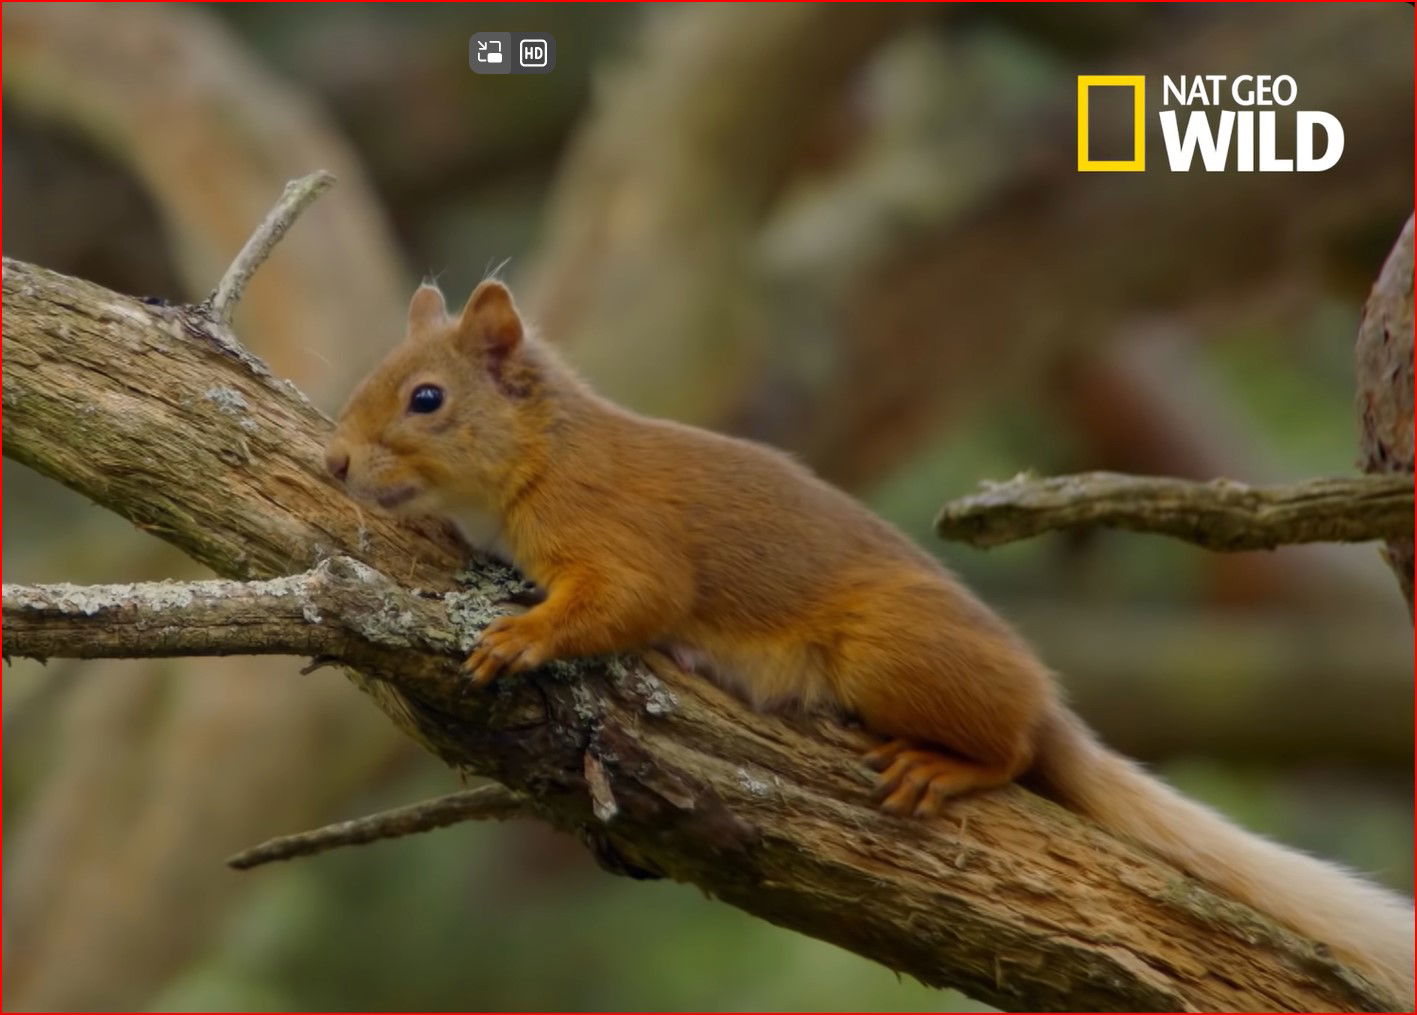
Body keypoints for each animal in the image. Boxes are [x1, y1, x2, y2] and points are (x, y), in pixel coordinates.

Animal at [325, 275, 1411, 997]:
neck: (544, 453)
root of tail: (1046, 698)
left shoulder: (617, 533)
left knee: (1010, 747)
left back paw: (949, 764)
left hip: (888, 653)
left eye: (426, 398)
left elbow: (627, 601)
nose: (334, 463)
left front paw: (525, 636)